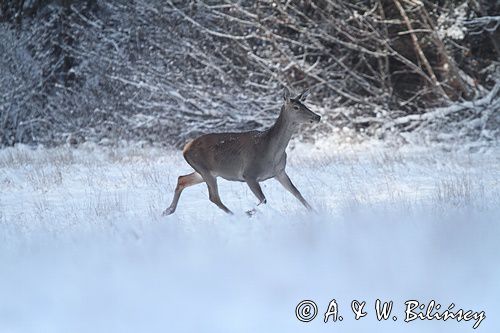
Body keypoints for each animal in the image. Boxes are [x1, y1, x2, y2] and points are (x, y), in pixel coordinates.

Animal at [162, 87, 322, 215]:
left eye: (304, 104)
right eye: (296, 107)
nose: (317, 116)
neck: (272, 153)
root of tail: (185, 148)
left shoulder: (280, 171)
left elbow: (297, 193)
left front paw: (315, 212)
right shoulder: (249, 174)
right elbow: (263, 199)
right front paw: (249, 212)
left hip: (205, 171)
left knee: (182, 179)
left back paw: (167, 211)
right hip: (204, 168)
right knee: (214, 197)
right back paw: (235, 215)